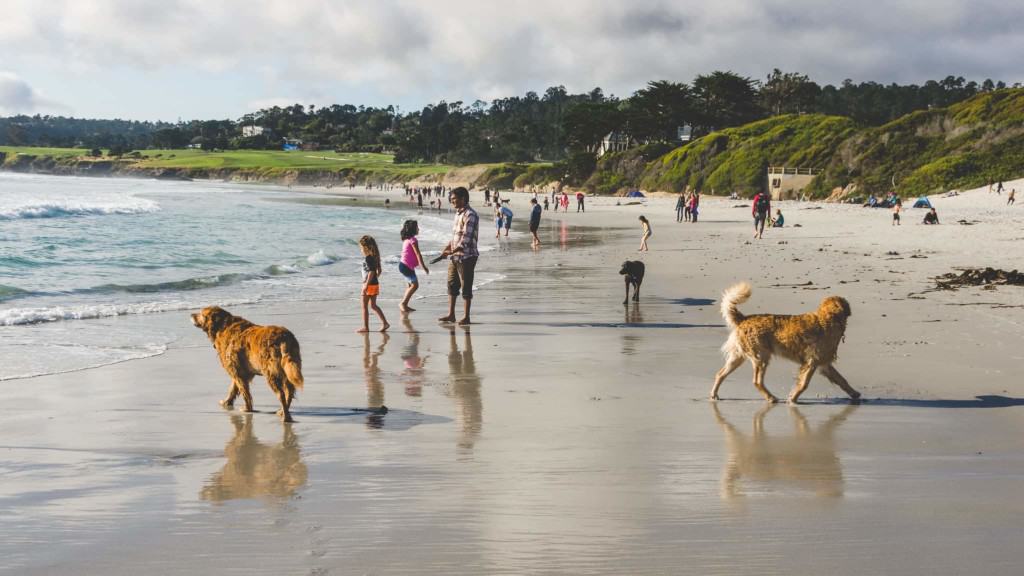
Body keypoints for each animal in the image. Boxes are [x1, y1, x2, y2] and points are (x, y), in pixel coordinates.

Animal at [712, 280, 864, 401]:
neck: (827, 319)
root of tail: (743, 319)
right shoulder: (812, 361)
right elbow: (804, 384)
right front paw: (793, 398)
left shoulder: (824, 363)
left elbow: (842, 380)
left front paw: (854, 393)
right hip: (761, 357)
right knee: (757, 381)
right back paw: (771, 398)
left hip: (739, 356)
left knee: (720, 374)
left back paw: (714, 395)